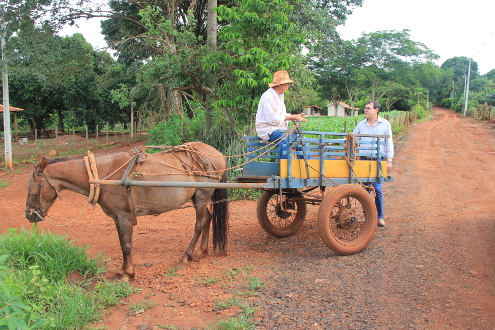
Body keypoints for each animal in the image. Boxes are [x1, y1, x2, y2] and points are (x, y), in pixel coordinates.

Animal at [25, 142, 231, 282]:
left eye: (33, 188)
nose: (28, 214)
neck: (104, 174)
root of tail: (217, 154)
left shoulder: (124, 216)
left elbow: (127, 245)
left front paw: (129, 274)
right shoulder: (117, 217)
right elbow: (122, 243)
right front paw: (123, 270)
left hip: (203, 195)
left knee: (199, 224)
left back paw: (185, 256)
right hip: (199, 198)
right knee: (208, 219)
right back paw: (201, 251)